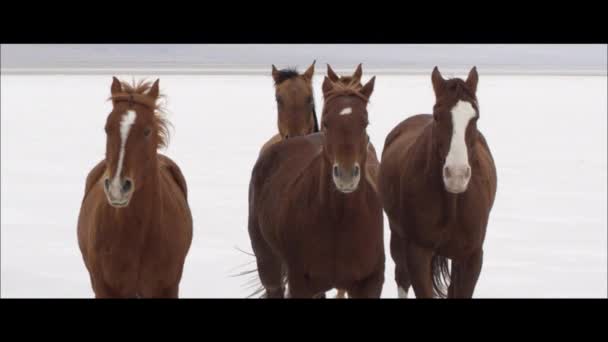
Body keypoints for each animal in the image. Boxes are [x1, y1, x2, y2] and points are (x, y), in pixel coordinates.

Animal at [248, 75, 384, 300]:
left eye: (365, 123)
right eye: (327, 122)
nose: (346, 175)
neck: (340, 220)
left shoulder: (369, 283)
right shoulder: (300, 283)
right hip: (268, 265)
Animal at [378, 66, 496, 296]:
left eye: (475, 117)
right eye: (436, 115)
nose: (456, 175)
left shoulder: (472, 257)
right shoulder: (418, 253)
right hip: (398, 239)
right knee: (401, 278)